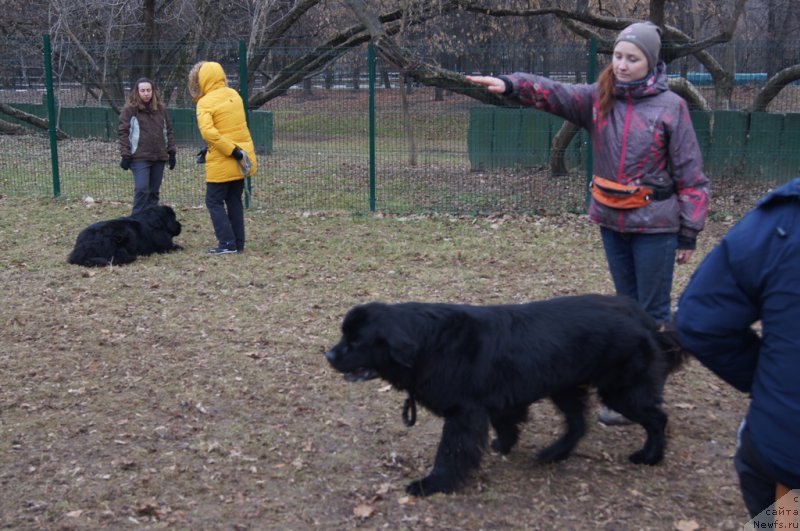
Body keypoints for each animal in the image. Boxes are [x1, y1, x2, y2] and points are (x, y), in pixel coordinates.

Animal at [324, 298, 688, 496]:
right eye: (344, 336)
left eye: (356, 342)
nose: (328, 355)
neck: (428, 344)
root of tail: (638, 314)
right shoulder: (494, 398)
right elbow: (505, 423)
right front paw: (504, 445)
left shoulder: (464, 411)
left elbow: (451, 451)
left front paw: (434, 484)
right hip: (564, 385)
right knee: (577, 423)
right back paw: (554, 453)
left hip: (620, 389)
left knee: (657, 418)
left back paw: (650, 456)